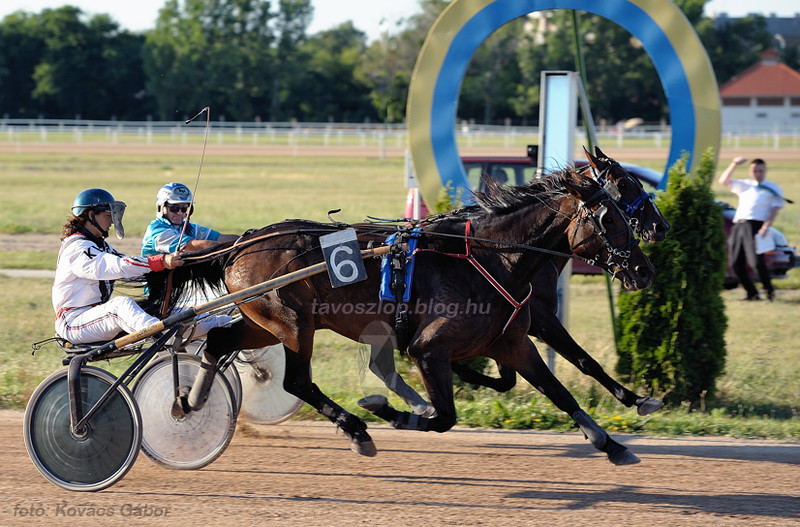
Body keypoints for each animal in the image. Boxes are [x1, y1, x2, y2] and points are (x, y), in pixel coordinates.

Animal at [150, 166, 656, 466]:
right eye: (611, 217)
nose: (644, 269)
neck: (492, 257)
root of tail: (244, 242)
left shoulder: (515, 341)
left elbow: (561, 391)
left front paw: (613, 442)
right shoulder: (429, 348)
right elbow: (445, 415)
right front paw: (388, 411)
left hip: (264, 323)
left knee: (219, 344)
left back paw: (188, 403)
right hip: (293, 323)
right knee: (296, 381)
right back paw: (357, 429)